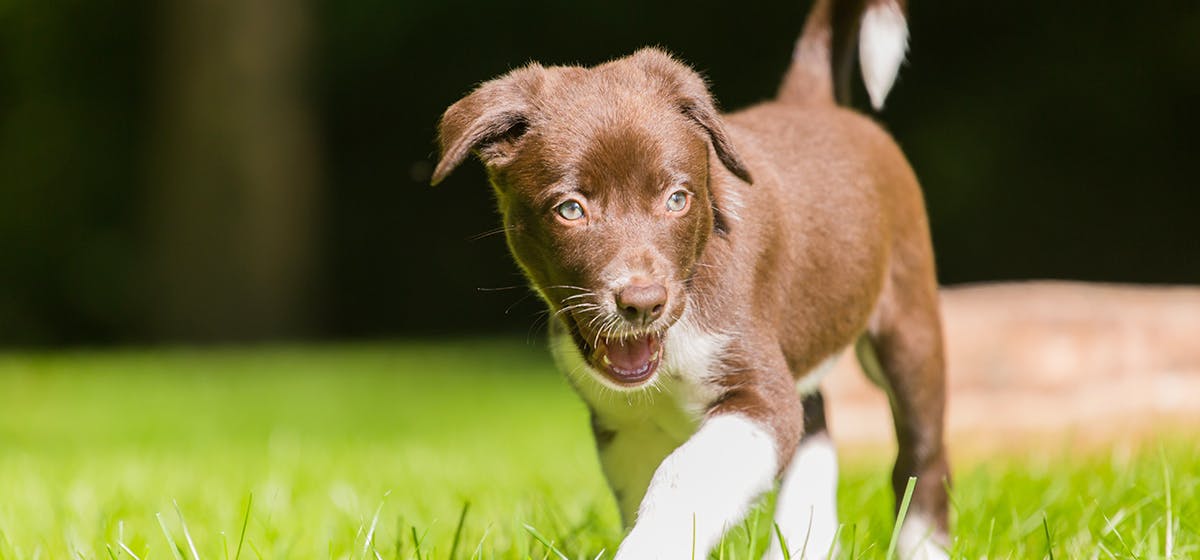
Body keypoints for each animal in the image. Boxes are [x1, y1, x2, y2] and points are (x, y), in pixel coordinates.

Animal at [432, 0, 945, 556]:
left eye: (677, 199)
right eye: (570, 209)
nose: (642, 303)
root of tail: (810, 100)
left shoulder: (759, 396)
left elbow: (682, 478)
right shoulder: (623, 424)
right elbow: (650, 493)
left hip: (909, 321)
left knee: (921, 451)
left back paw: (923, 543)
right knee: (816, 418)